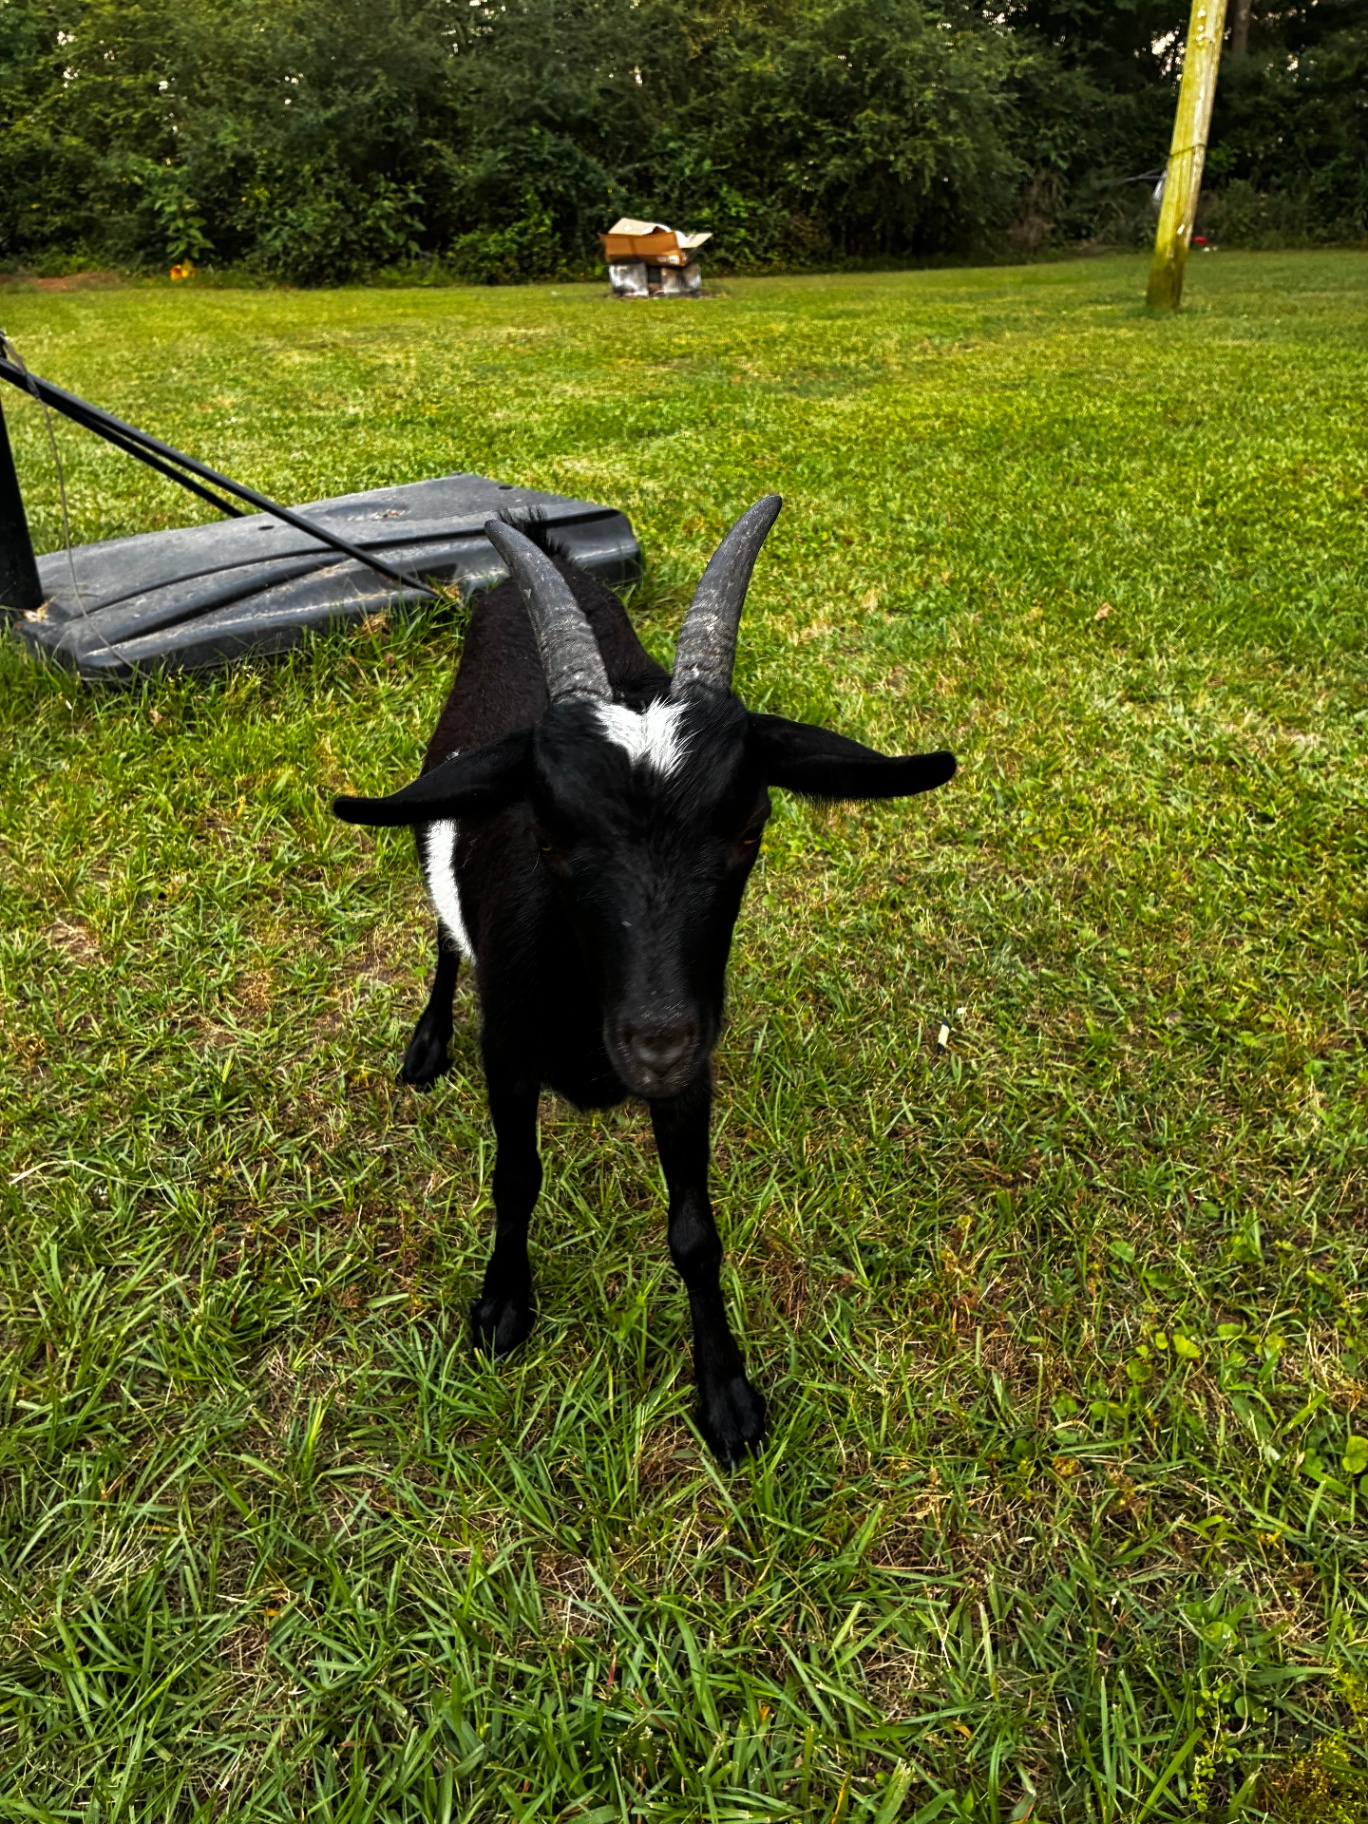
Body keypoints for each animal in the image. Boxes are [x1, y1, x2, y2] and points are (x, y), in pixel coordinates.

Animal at [334, 499, 955, 1464]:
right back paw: (425, 1043)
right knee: (441, 929)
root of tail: (542, 544)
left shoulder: (693, 1069)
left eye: (751, 827)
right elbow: (516, 1176)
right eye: (549, 835)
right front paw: (502, 1303)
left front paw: (727, 1394)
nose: (654, 1043)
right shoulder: (508, 1051)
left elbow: (695, 1230)